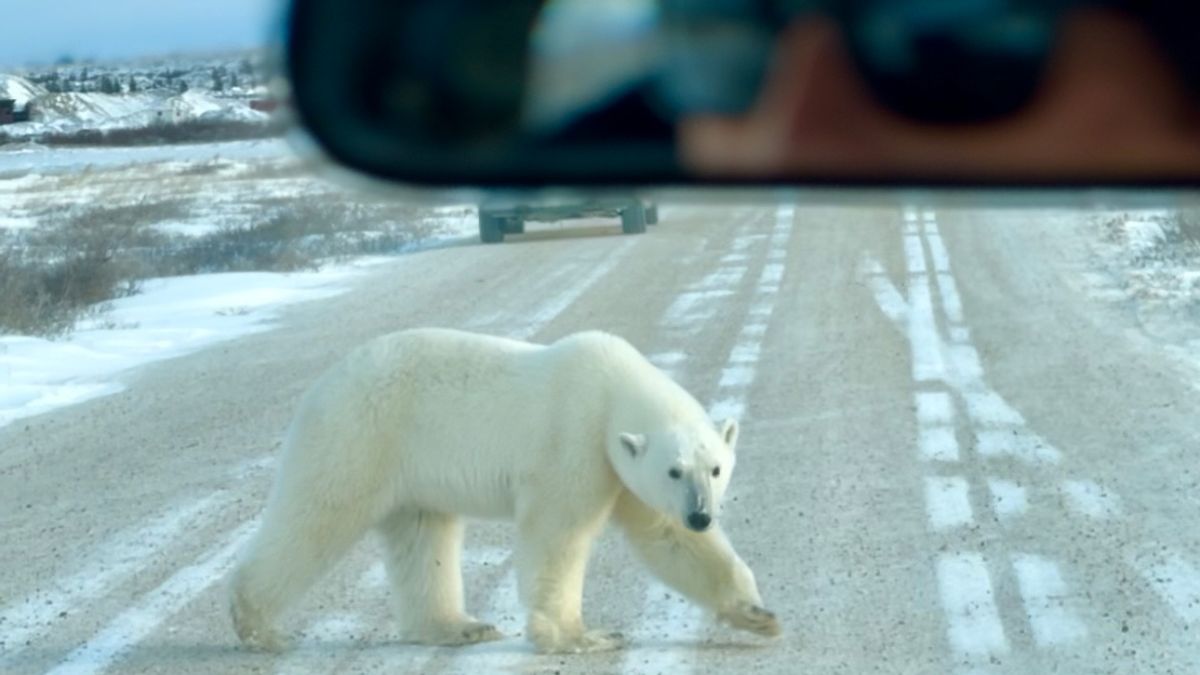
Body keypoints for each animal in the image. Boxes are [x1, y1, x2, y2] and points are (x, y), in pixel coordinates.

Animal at [229, 326, 782, 653]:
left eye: (714, 468)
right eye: (674, 471)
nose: (702, 514)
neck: (612, 389)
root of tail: (321, 386)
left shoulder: (620, 468)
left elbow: (669, 539)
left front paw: (758, 615)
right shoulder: (574, 442)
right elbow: (558, 535)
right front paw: (581, 635)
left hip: (412, 471)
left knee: (422, 538)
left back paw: (459, 625)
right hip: (360, 436)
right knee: (317, 514)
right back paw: (256, 624)